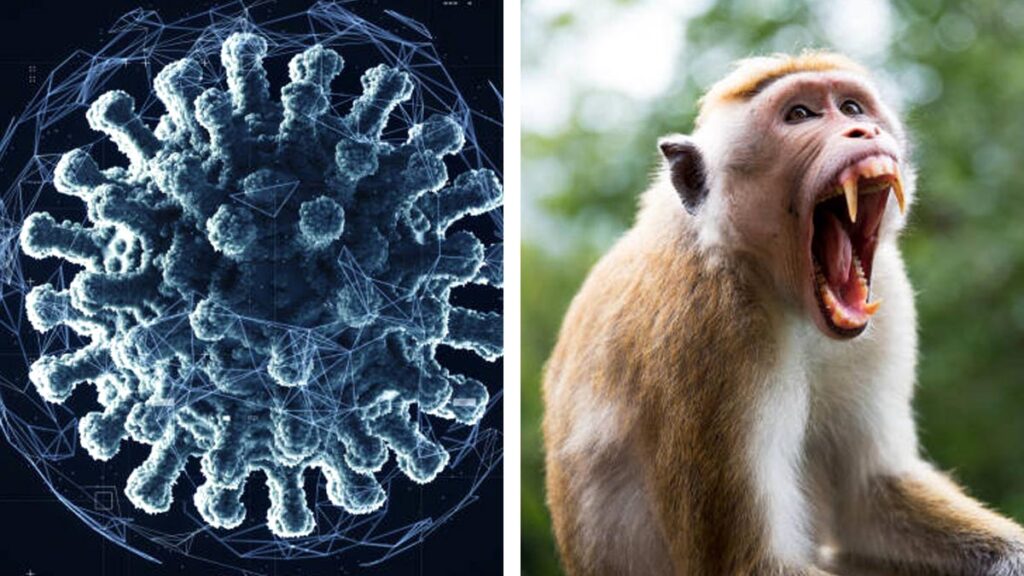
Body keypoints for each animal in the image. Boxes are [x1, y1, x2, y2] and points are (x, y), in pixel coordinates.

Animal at [541, 52, 1024, 576]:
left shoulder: (890, 294)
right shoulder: (711, 332)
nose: (862, 131)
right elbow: (751, 563)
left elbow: (868, 495)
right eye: (800, 115)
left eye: (851, 107)